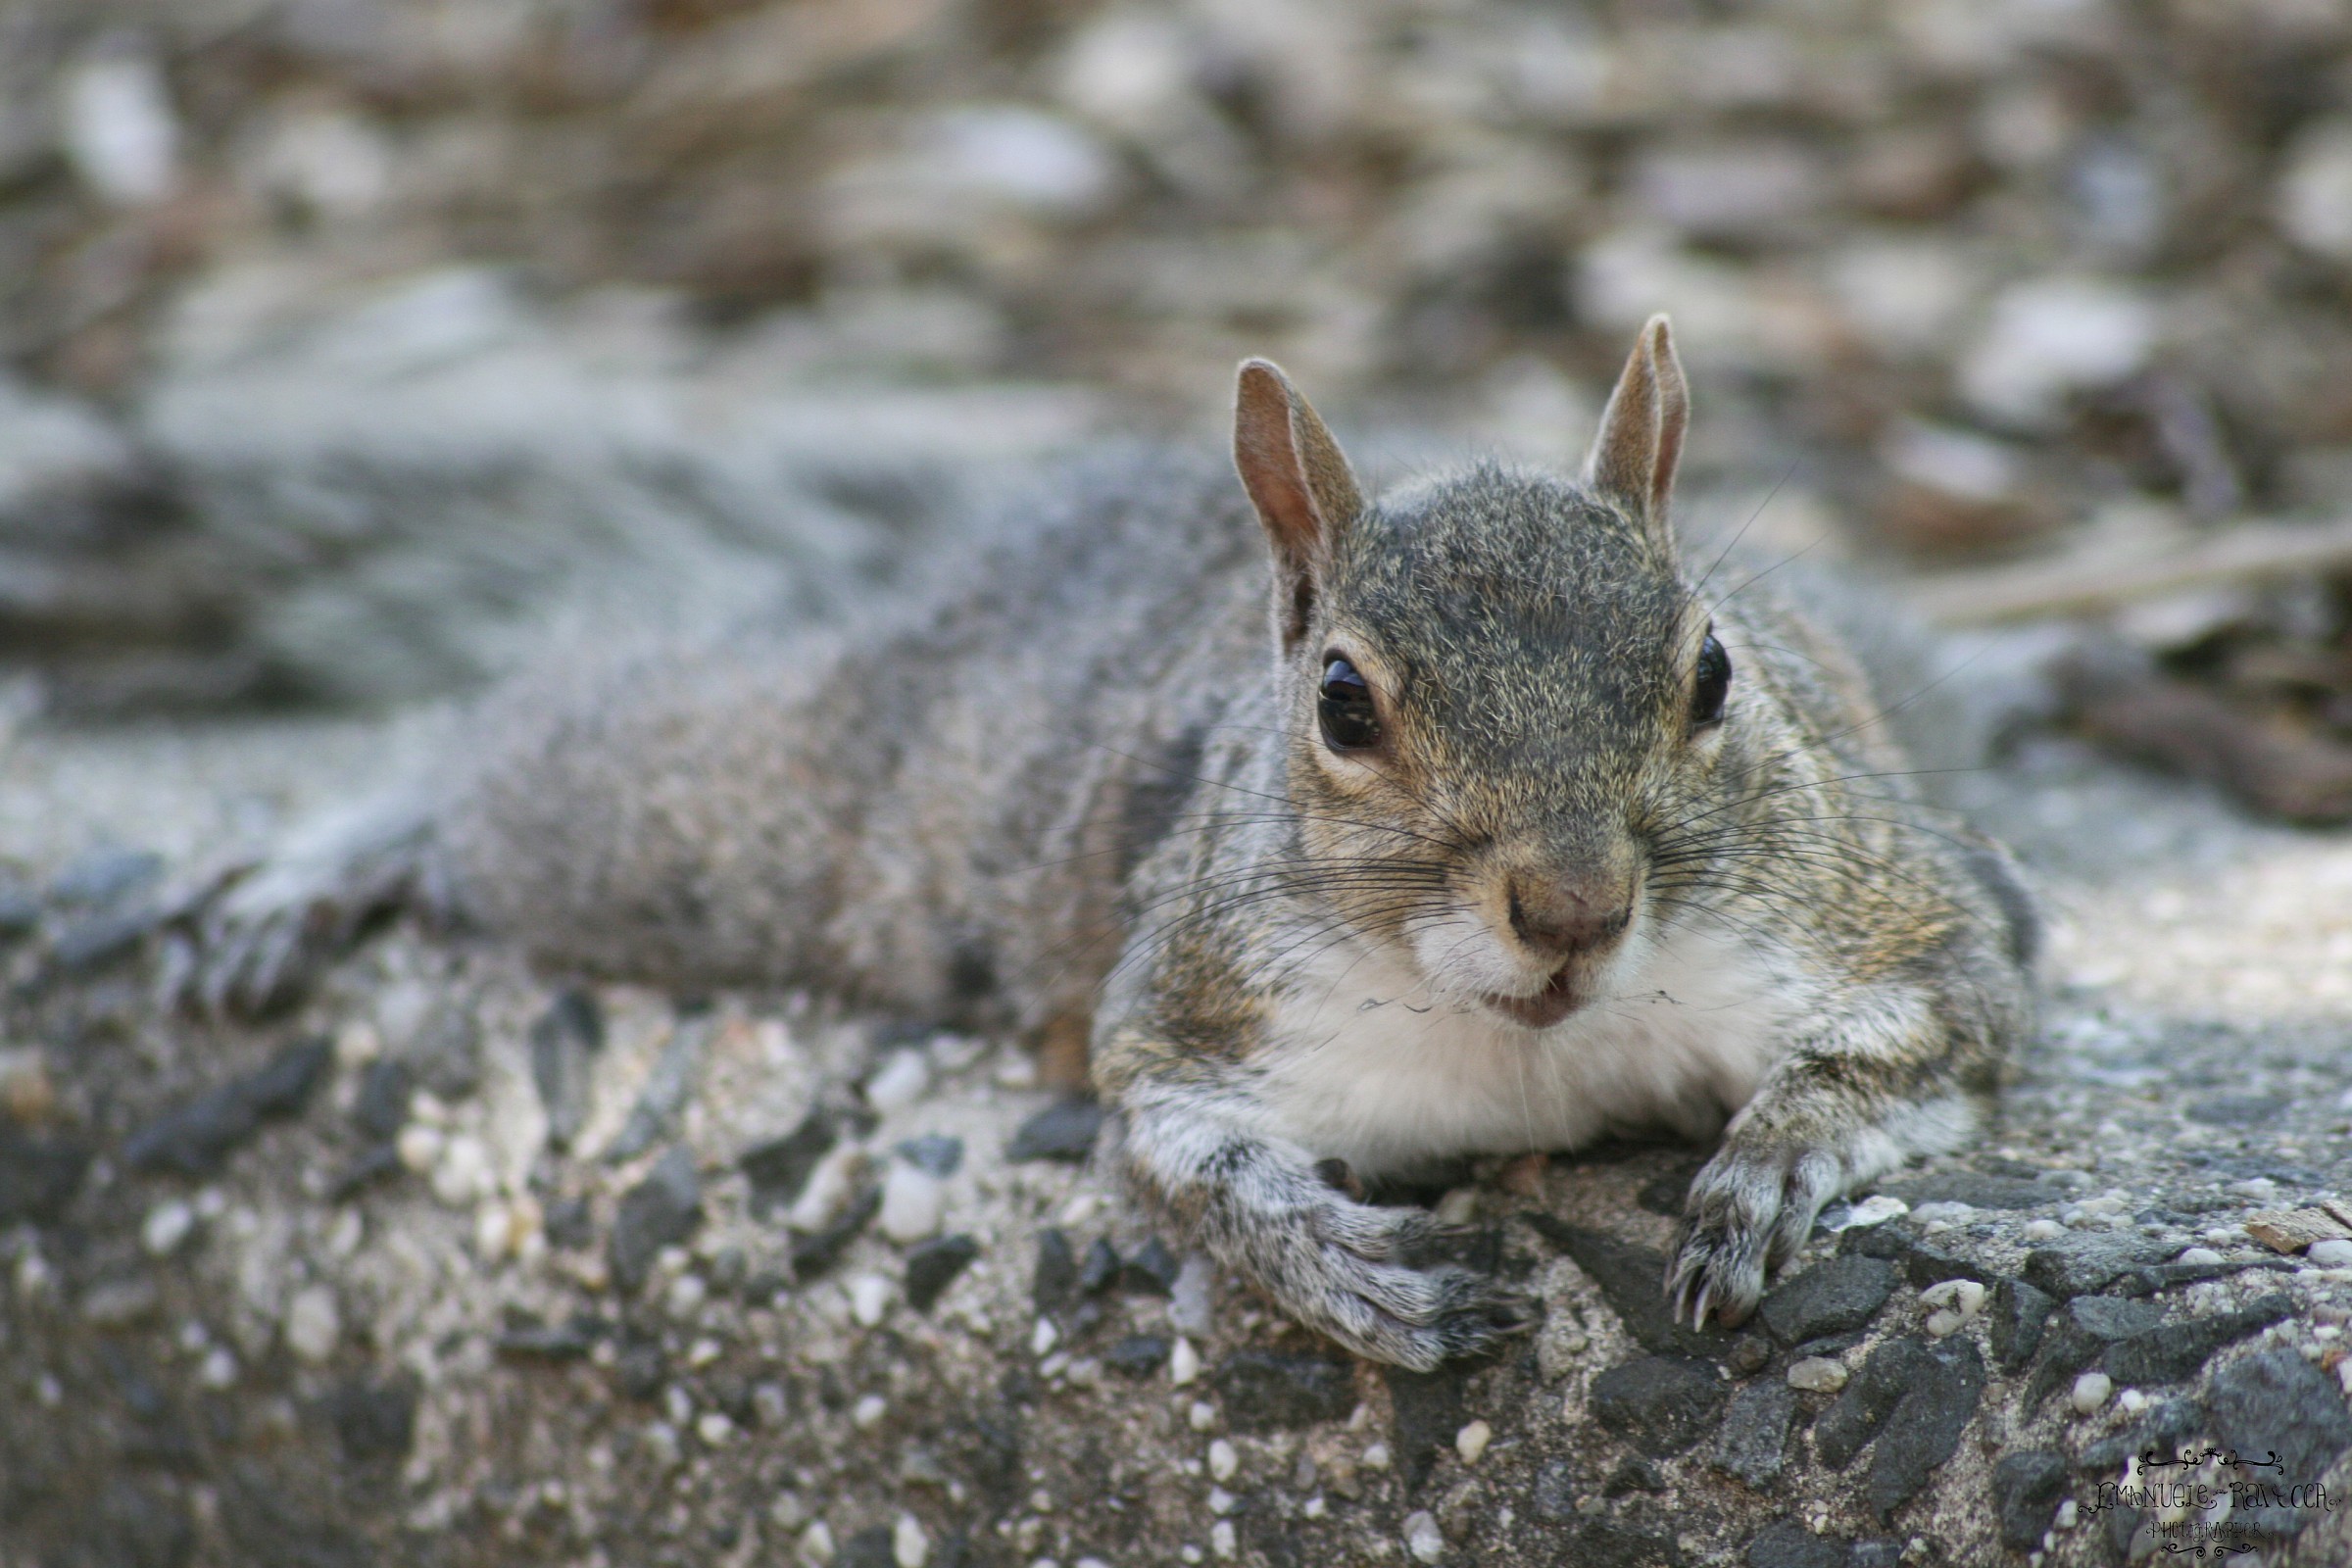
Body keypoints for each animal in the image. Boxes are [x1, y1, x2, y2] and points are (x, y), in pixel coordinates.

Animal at [201, 317, 2037, 1369]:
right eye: (1344, 704)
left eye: (1713, 669)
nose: (1573, 907)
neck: (1533, 1045)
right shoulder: (1195, 1007)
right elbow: (1179, 1157)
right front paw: (1349, 1277)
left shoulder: (1904, 910)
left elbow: (1929, 1026)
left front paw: (1770, 1166)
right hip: (726, 828)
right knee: (526, 752)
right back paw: (333, 857)